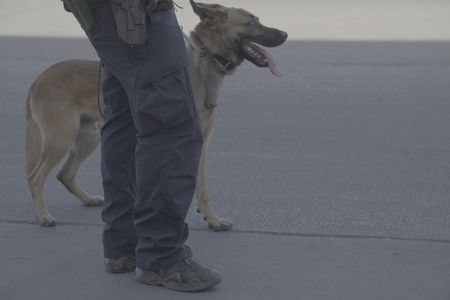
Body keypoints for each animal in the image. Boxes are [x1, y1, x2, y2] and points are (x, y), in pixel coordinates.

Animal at [26, 0, 286, 230]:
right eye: (251, 22)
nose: (284, 34)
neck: (204, 64)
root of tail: (38, 79)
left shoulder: (201, 144)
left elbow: (202, 188)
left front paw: (211, 219)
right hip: (62, 139)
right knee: (36, 177)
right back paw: (42, 215)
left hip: (88, 138)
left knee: (64, 174)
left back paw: (88, 199)